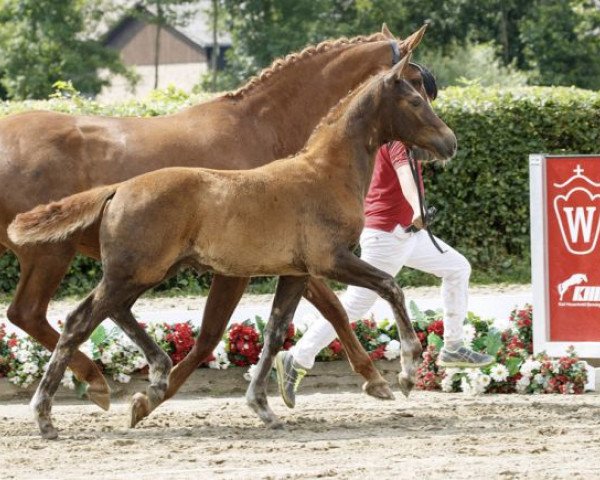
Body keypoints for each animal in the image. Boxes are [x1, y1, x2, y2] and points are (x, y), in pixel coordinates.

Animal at [10, 49, 454, 438]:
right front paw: (407, 371)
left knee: (105, 313)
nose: (450, 142)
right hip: (128, 272)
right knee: (77, 322)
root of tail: (118, 189)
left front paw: (262, 406)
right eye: (415, 98)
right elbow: (390, 287)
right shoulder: (331, 260)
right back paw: (46, 415)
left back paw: (153, 378)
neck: (325, 171)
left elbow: (276, 331)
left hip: (140, 273)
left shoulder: (295, 272)